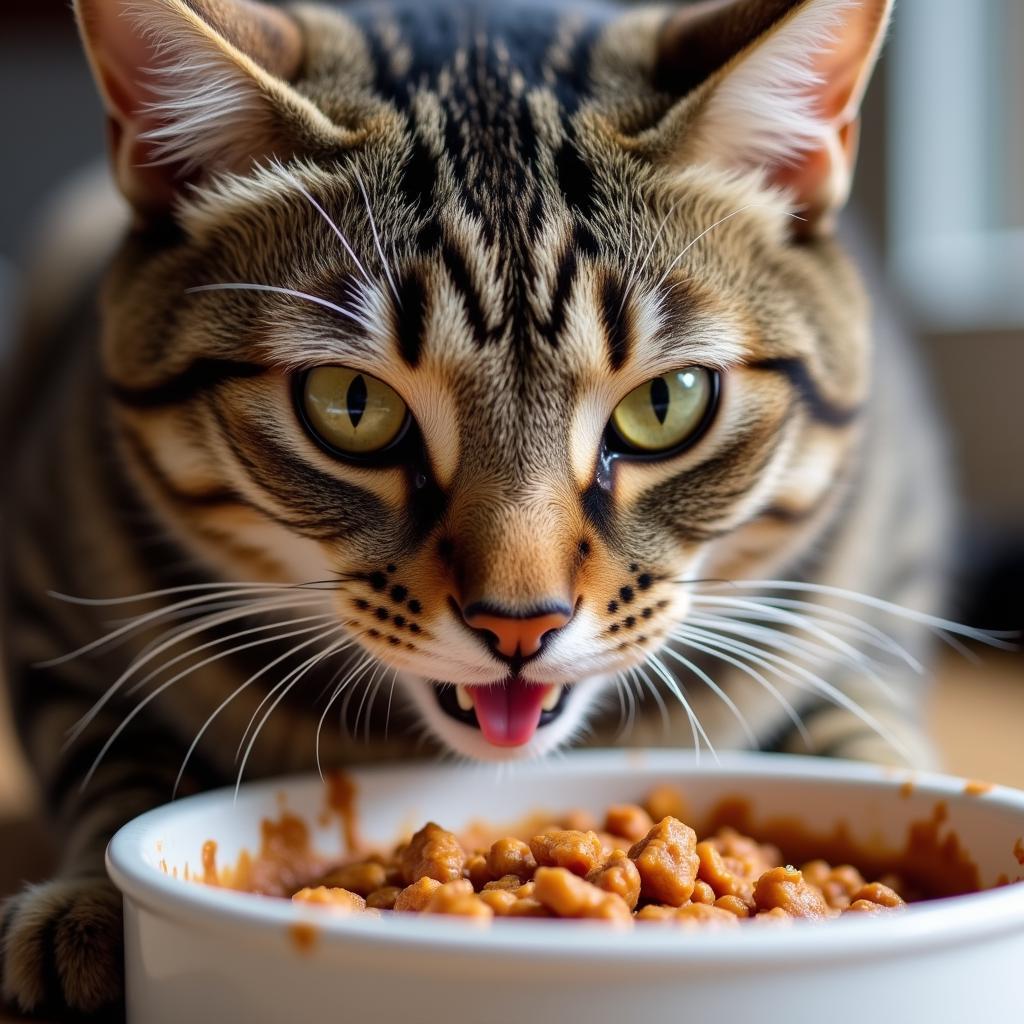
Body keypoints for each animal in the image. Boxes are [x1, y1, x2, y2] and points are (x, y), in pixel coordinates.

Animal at [2, 0, 966, 1011]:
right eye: (352, 405)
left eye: (667, 405)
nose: (518, 624)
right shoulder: (50, 614)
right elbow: (113, 761)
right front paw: (86, 907)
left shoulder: (881, 589)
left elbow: (863, 729)